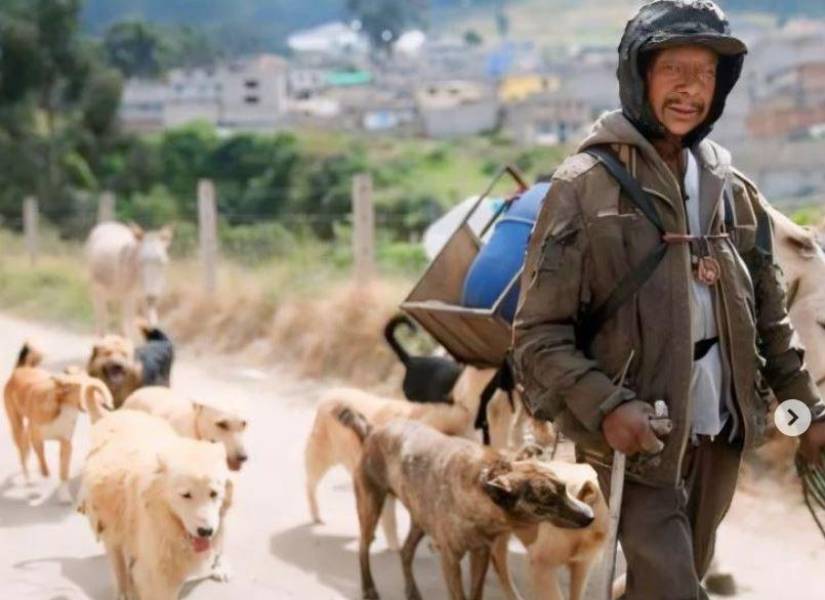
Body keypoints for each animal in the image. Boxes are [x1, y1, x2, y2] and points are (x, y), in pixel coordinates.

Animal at [3, 342, 112, 502]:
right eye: (85, 389)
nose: (105, 404)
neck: (63, 407)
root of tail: (21, 369)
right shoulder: (36, 438)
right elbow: (43, 462)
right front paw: (44, 476)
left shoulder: (66, 444)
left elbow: (64, 472)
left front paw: (64, 495)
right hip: (17, 427)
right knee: (23, 455)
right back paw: (29, 481)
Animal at [304, 366, 492, 548]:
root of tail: (330, 393)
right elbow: (391, 522)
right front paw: (396, 547)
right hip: (322, 459)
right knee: (310, 484)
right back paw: (316, 515)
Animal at [338, 410, 596, 600]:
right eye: (548, 500)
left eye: (564, 488)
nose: (590, 516)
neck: (484, 484)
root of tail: (373, 430)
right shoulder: (451, 560)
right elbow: (460, 595)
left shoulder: (480, 553)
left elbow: (475, 593)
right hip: (370, 507)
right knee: (363, 547)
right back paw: (369, 589)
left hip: (420, 519)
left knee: (406, 551)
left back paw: (412, 591)